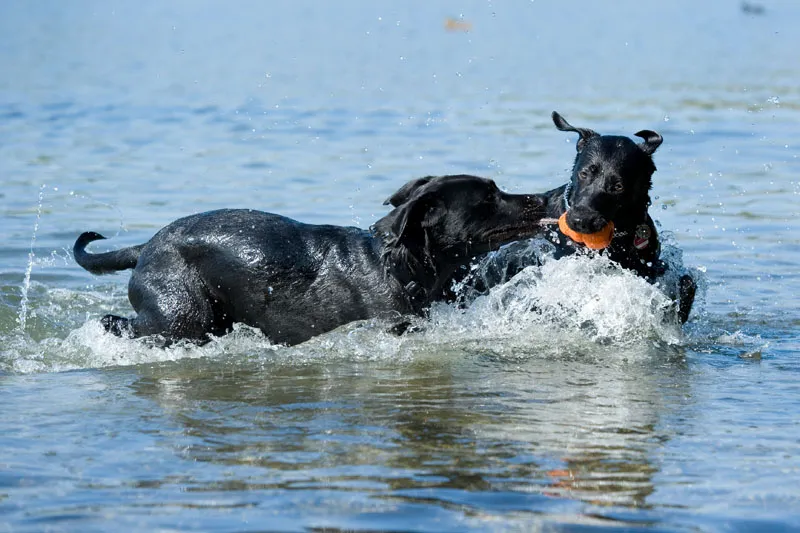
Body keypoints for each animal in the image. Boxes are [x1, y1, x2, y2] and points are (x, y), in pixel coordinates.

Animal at [73, 175, 544, 344]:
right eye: (489, 196)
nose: (540, 197)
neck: (403, 264)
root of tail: (145, 247)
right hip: (181, 316)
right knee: (119, 323)